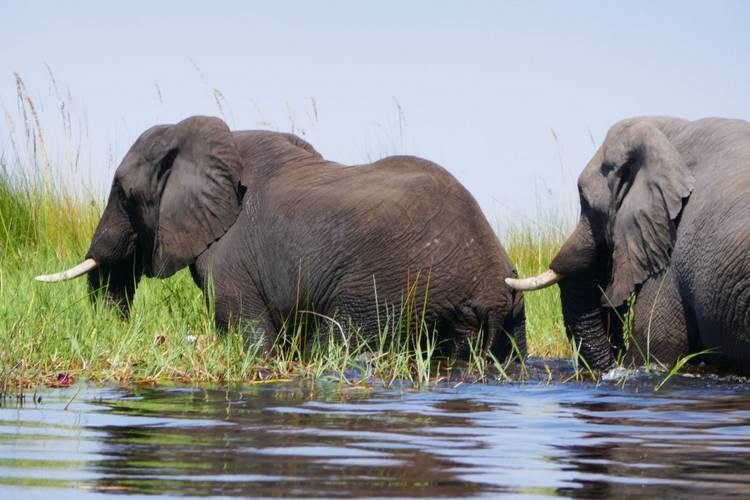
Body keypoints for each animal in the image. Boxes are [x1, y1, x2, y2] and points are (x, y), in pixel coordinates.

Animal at [36, 115, 528, 362]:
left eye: (123, 193)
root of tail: (490, 286)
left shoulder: (231, 258)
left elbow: (249, 337)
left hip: (383, 291)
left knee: (341, 343)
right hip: (514, 313)